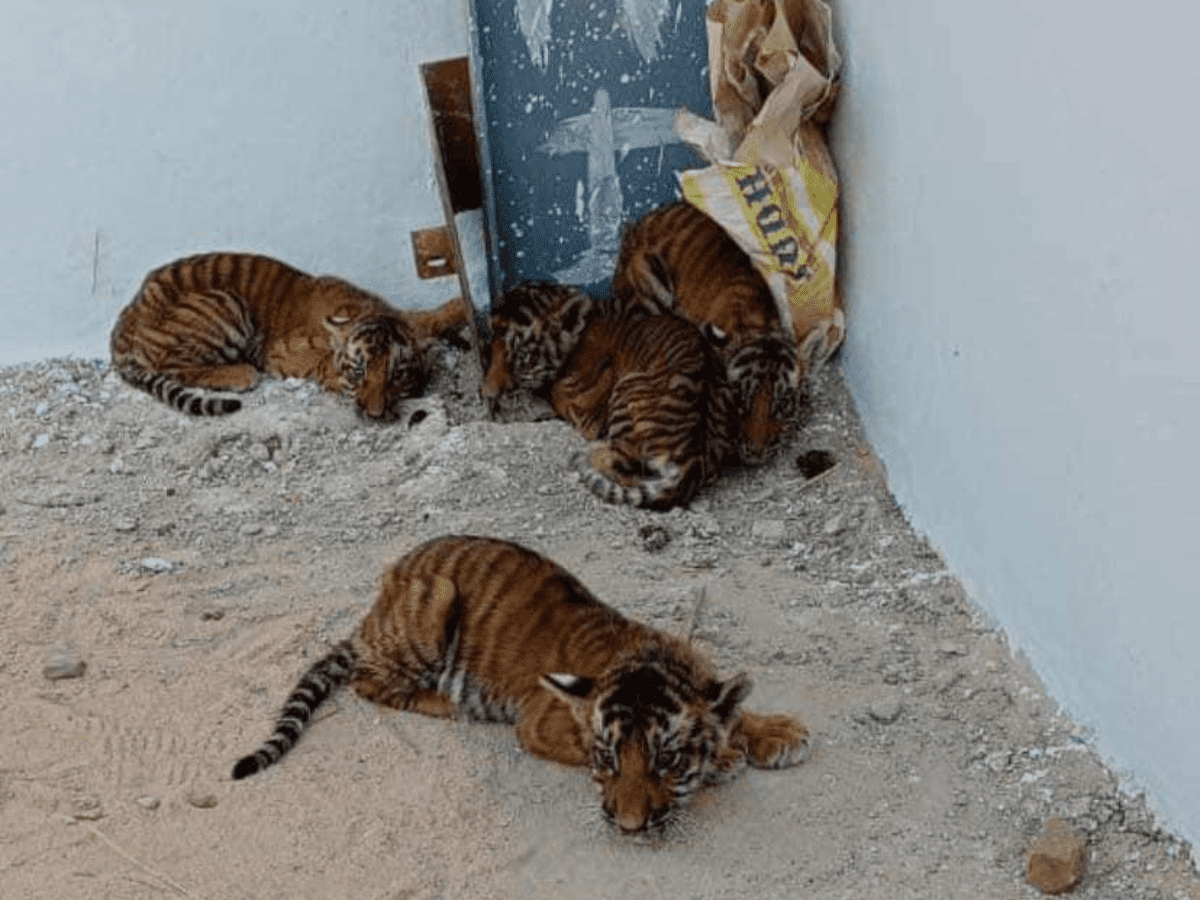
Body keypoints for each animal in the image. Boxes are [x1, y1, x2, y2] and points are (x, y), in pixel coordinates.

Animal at [109, 252, 470, 420]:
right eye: (359, 371)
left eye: (396, 374)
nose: (375, 415)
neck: (365, 309)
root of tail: (124, 319)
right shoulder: (280, 353)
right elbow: (321, 363)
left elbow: (423, 318)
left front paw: (460, 307)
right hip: (224, 303)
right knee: (172, 365)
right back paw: (240, 373)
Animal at [231, 535, 810, 834]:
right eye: (608, 760)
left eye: (665, 760)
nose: (627, 828)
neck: (645, 658)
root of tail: (374, 609)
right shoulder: (540, 722)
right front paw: (729, 756)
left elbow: (731, 706)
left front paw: (777, 732)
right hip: (433, 602)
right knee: (367, 681)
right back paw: (444, 703)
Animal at [480, 282, 740, 511]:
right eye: (491, 343)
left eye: (520, 356)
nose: (486, 393)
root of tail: (692, 464)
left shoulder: (588, 409)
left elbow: (559, 393)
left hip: (627, 391)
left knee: (624, 467)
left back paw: (585, 457)